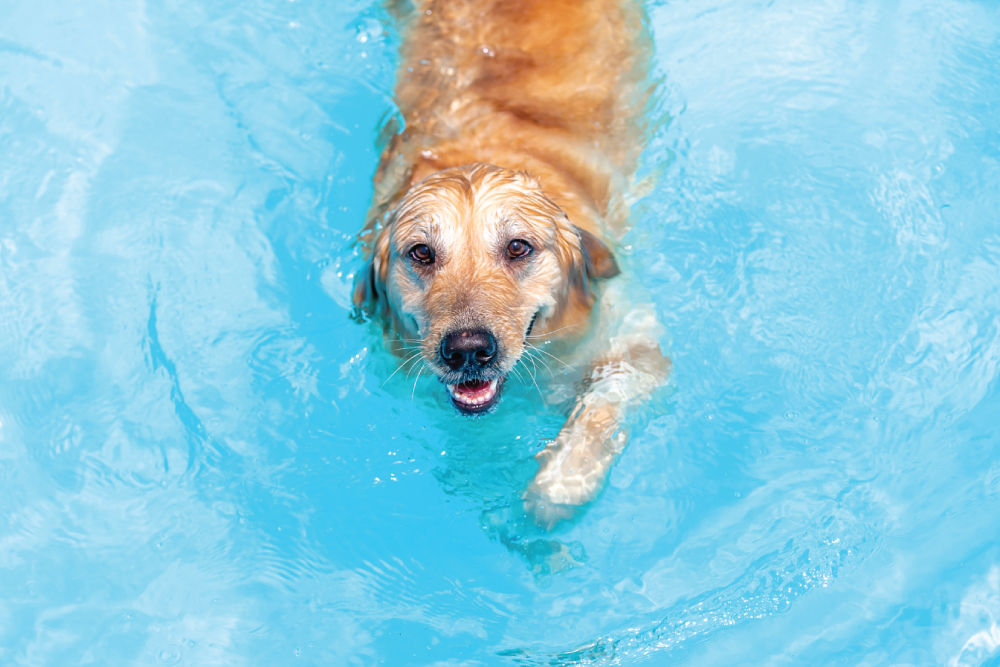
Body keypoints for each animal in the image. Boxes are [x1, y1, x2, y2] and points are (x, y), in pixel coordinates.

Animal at [356, 0, 668, 528]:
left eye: (518, 248)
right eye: (421, 253)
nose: (467, 350)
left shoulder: (636, 344)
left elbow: (600, 408)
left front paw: (557, 485)